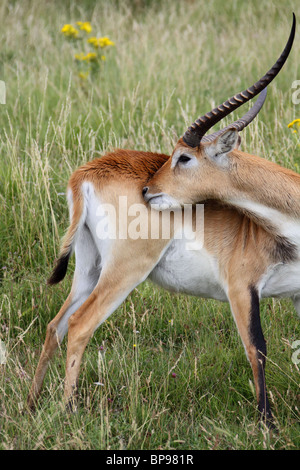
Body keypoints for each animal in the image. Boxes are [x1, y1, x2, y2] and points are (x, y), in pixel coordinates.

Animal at [27, 14, 296, 428]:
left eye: (184, 157)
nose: (149, 189)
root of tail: (86, 173)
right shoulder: (241, 287)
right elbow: (257, 348)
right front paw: (267, 424)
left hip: (89, 268)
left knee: (55, 325)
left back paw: (32, 404)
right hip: (125, 270)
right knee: (80, 325)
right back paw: (68, 410)